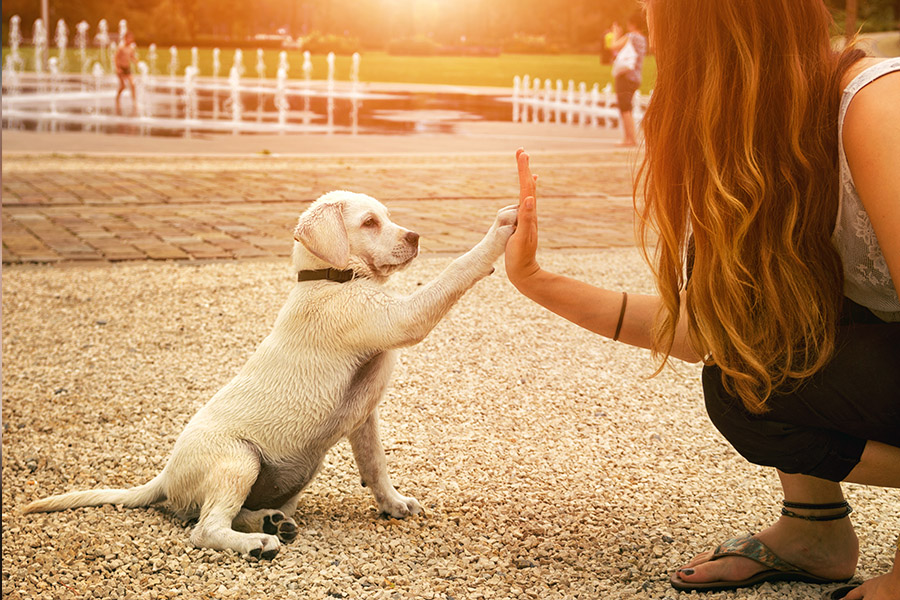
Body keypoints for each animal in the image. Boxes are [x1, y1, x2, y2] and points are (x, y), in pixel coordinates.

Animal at [24, 190, 516, 560]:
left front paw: (393, 504)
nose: (415, 237)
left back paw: (272, 522)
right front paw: (500, 232)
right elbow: (455, 270)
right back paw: (258, 542)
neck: (330, 278)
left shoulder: (365, 417)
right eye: (370, 223)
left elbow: (375, 465)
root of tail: (165, 476)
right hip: (239, 459)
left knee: (221, 514)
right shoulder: (401, 319)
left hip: (291, 476)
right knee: (204, 529)